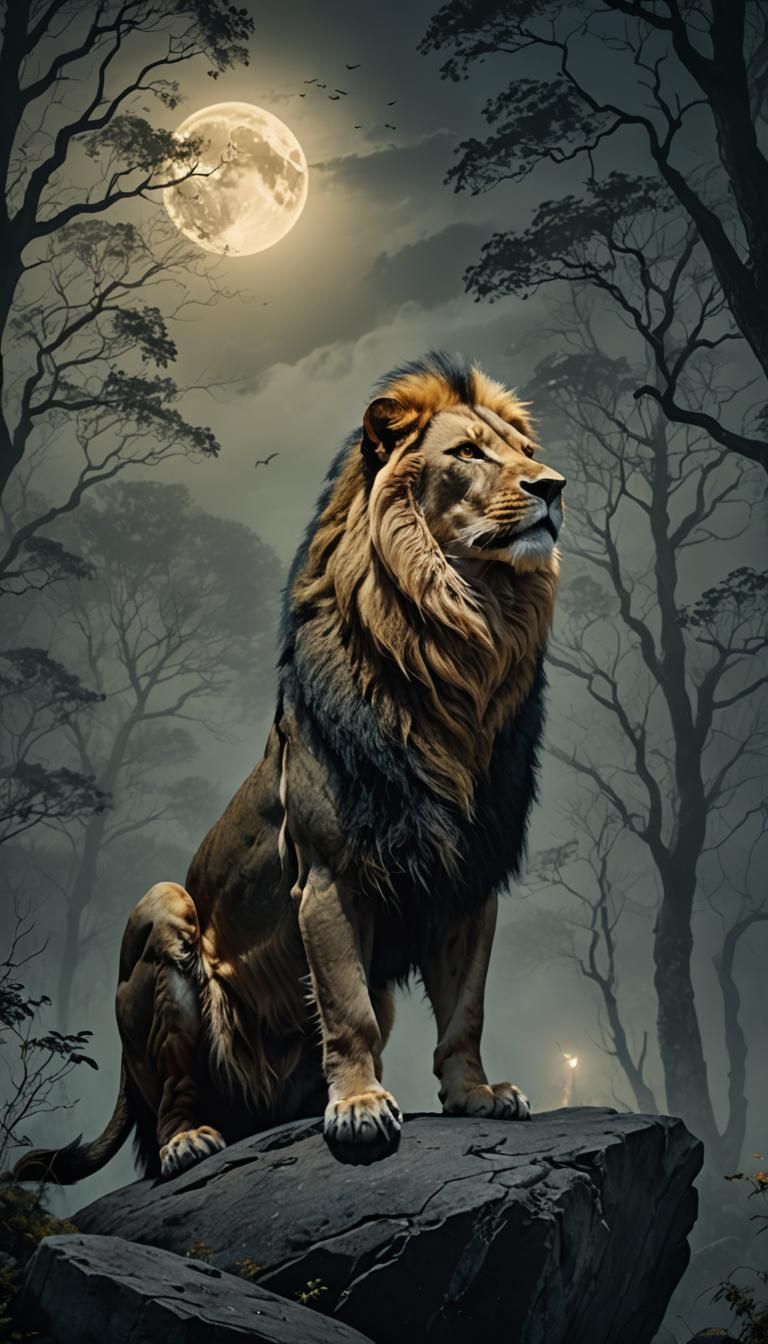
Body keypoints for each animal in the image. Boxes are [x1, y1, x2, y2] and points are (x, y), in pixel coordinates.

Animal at [13, 351, 564, 1184]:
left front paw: (476, 1094)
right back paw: (189, 1140)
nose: (553, 486)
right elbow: (347, 1008)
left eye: (526, 451)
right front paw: (361, 1108)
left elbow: (465, 1008)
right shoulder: (329, 875)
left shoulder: (471, 874)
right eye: (468, 453)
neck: (459, 643)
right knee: (174, 1091)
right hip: (162, 916)